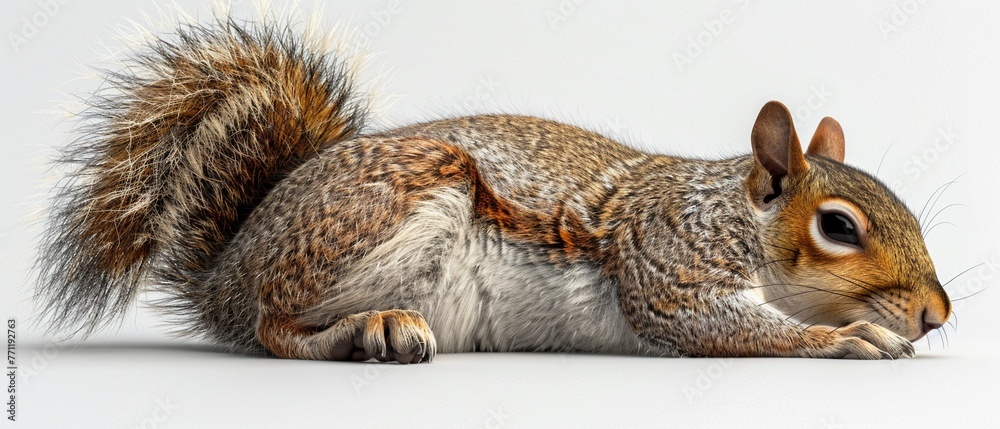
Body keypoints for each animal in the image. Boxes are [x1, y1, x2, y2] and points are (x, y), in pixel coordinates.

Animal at [36, 15, 951, 364]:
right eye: (839, 226)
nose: (938, 314)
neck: (728, 214)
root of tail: (227, 267)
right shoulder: (666, 258)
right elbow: (713, 322)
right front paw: (848, 338)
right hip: (393, 205)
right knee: (273, 325)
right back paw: (367, 329)